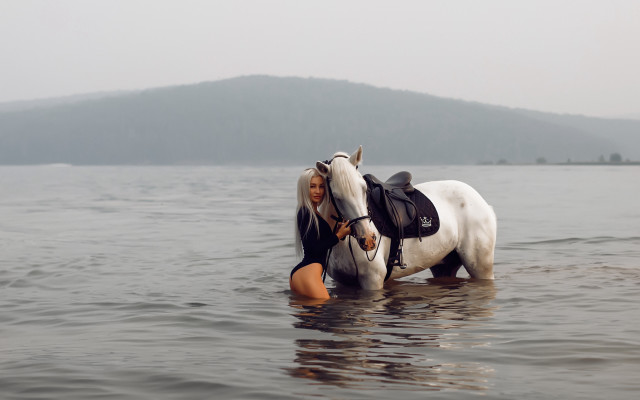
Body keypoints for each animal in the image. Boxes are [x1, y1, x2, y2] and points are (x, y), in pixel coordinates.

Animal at [316, 146, 497, 290]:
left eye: (363, 189)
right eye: (337, 196)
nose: (368, 239)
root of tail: (482, 202)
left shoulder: (372, 280)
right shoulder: (342, 282)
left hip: (480, 267)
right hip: (445, 265)